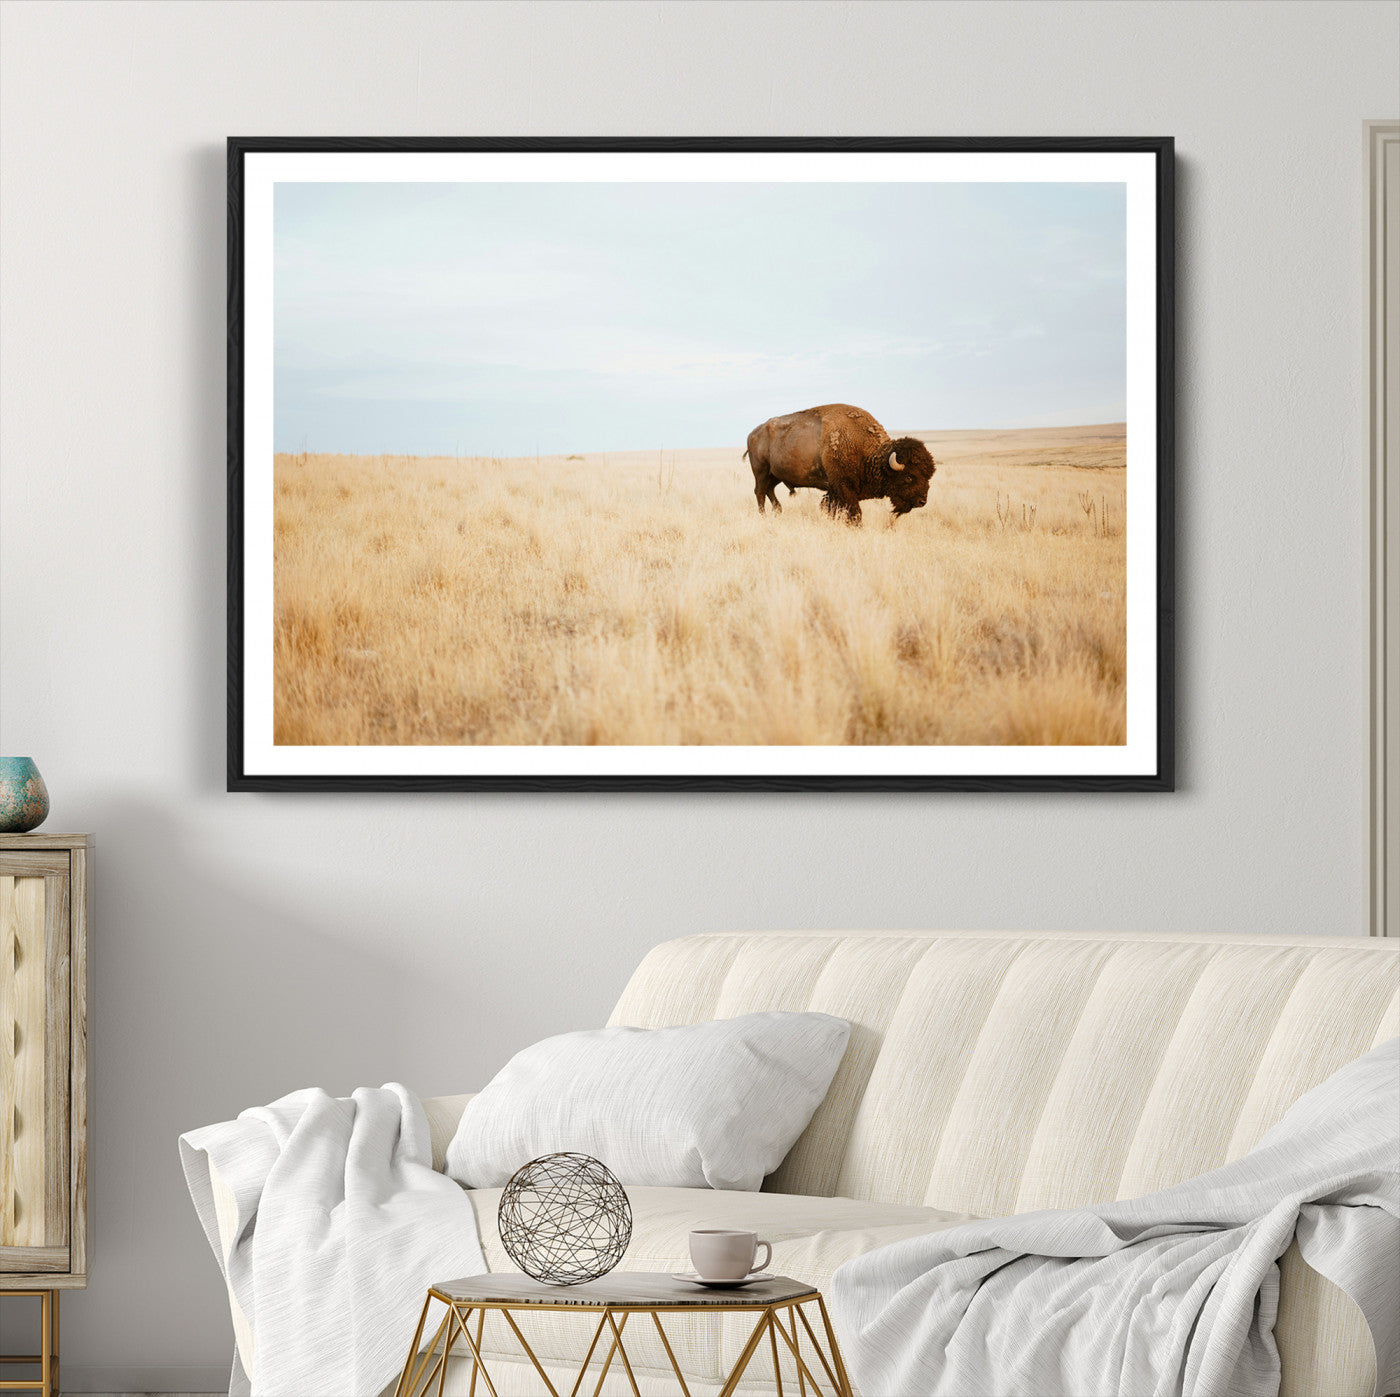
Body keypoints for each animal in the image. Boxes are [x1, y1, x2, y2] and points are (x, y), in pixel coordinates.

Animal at [744, 404, 937, 525]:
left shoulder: (835, 491)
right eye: (909, 476)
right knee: (760, 492)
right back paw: (764, 516)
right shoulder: (844, 488)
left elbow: (832, 509)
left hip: (775, 475)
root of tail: (753, 433)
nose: (922, 501)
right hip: (761, 472)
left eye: (929, 476)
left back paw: (778, 512)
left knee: (769, 491)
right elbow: (855, 512)